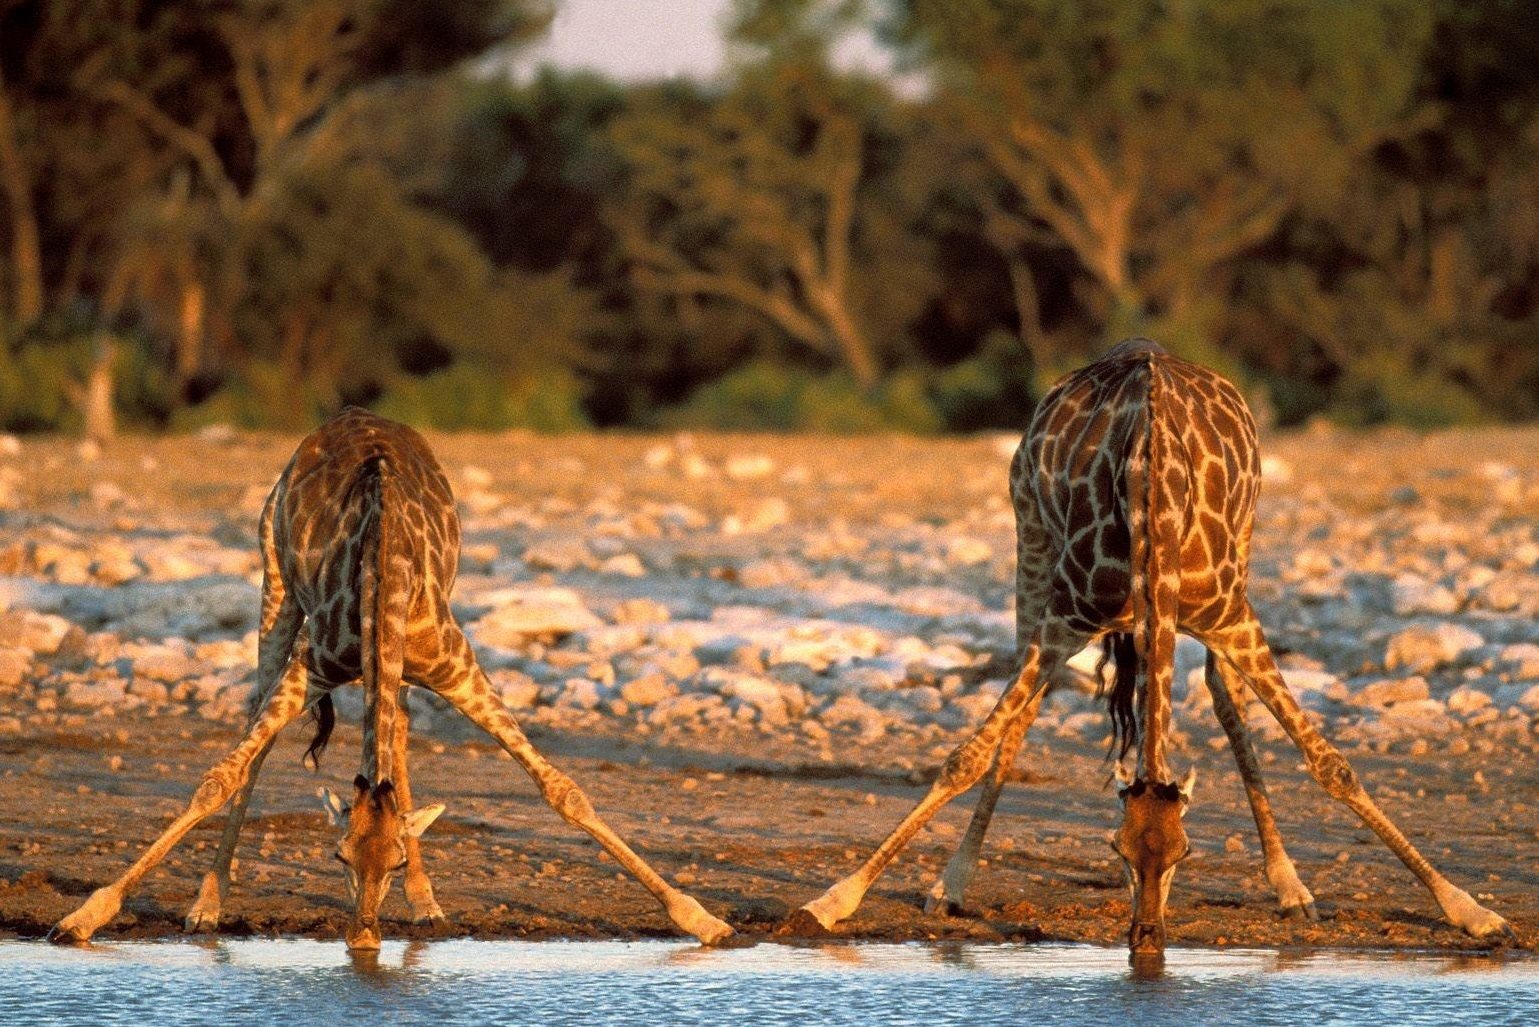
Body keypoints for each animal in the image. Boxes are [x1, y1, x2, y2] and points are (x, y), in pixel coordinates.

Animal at [49, 407, 733, 949]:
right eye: (337, 855)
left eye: (397, 859)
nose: (363, 938)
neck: (384, 571)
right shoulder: (313, 665)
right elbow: (219, 779)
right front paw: (83, 918)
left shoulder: (457, 666)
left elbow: (563, 790)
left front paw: (702, 920)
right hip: (275, 583)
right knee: (259, 730)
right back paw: (207, 905)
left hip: (393, 661)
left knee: (396, 736)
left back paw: (428, 904)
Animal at [785, 339, 1511, 953]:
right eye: (1116, 849)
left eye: (1185, 853)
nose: (1146, 939)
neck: (1153, 494)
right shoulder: (1062, 620)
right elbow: (966, 754)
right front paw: (833, 899)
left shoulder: (1231, 617)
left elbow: (1331, 765)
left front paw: (1471, 909)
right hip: (1030, 542)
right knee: (1022, 711)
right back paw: (951, 883)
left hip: (1244, 550)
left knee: (1222, 694)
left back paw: (1290, 886)